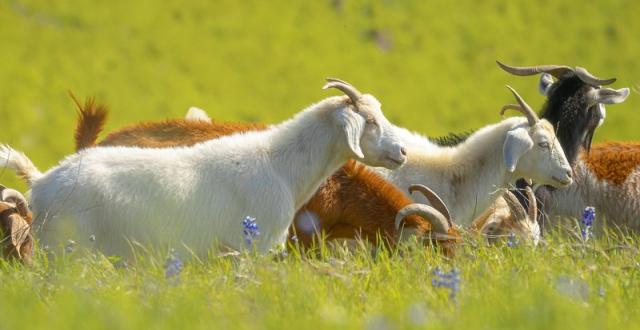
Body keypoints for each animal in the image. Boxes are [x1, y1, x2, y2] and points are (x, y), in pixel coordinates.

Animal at [0, 79, 408, 255]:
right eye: (370, 121)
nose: (402, 151)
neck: (282, 164)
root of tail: (41, 182)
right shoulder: (255, 248)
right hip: (66, 248)